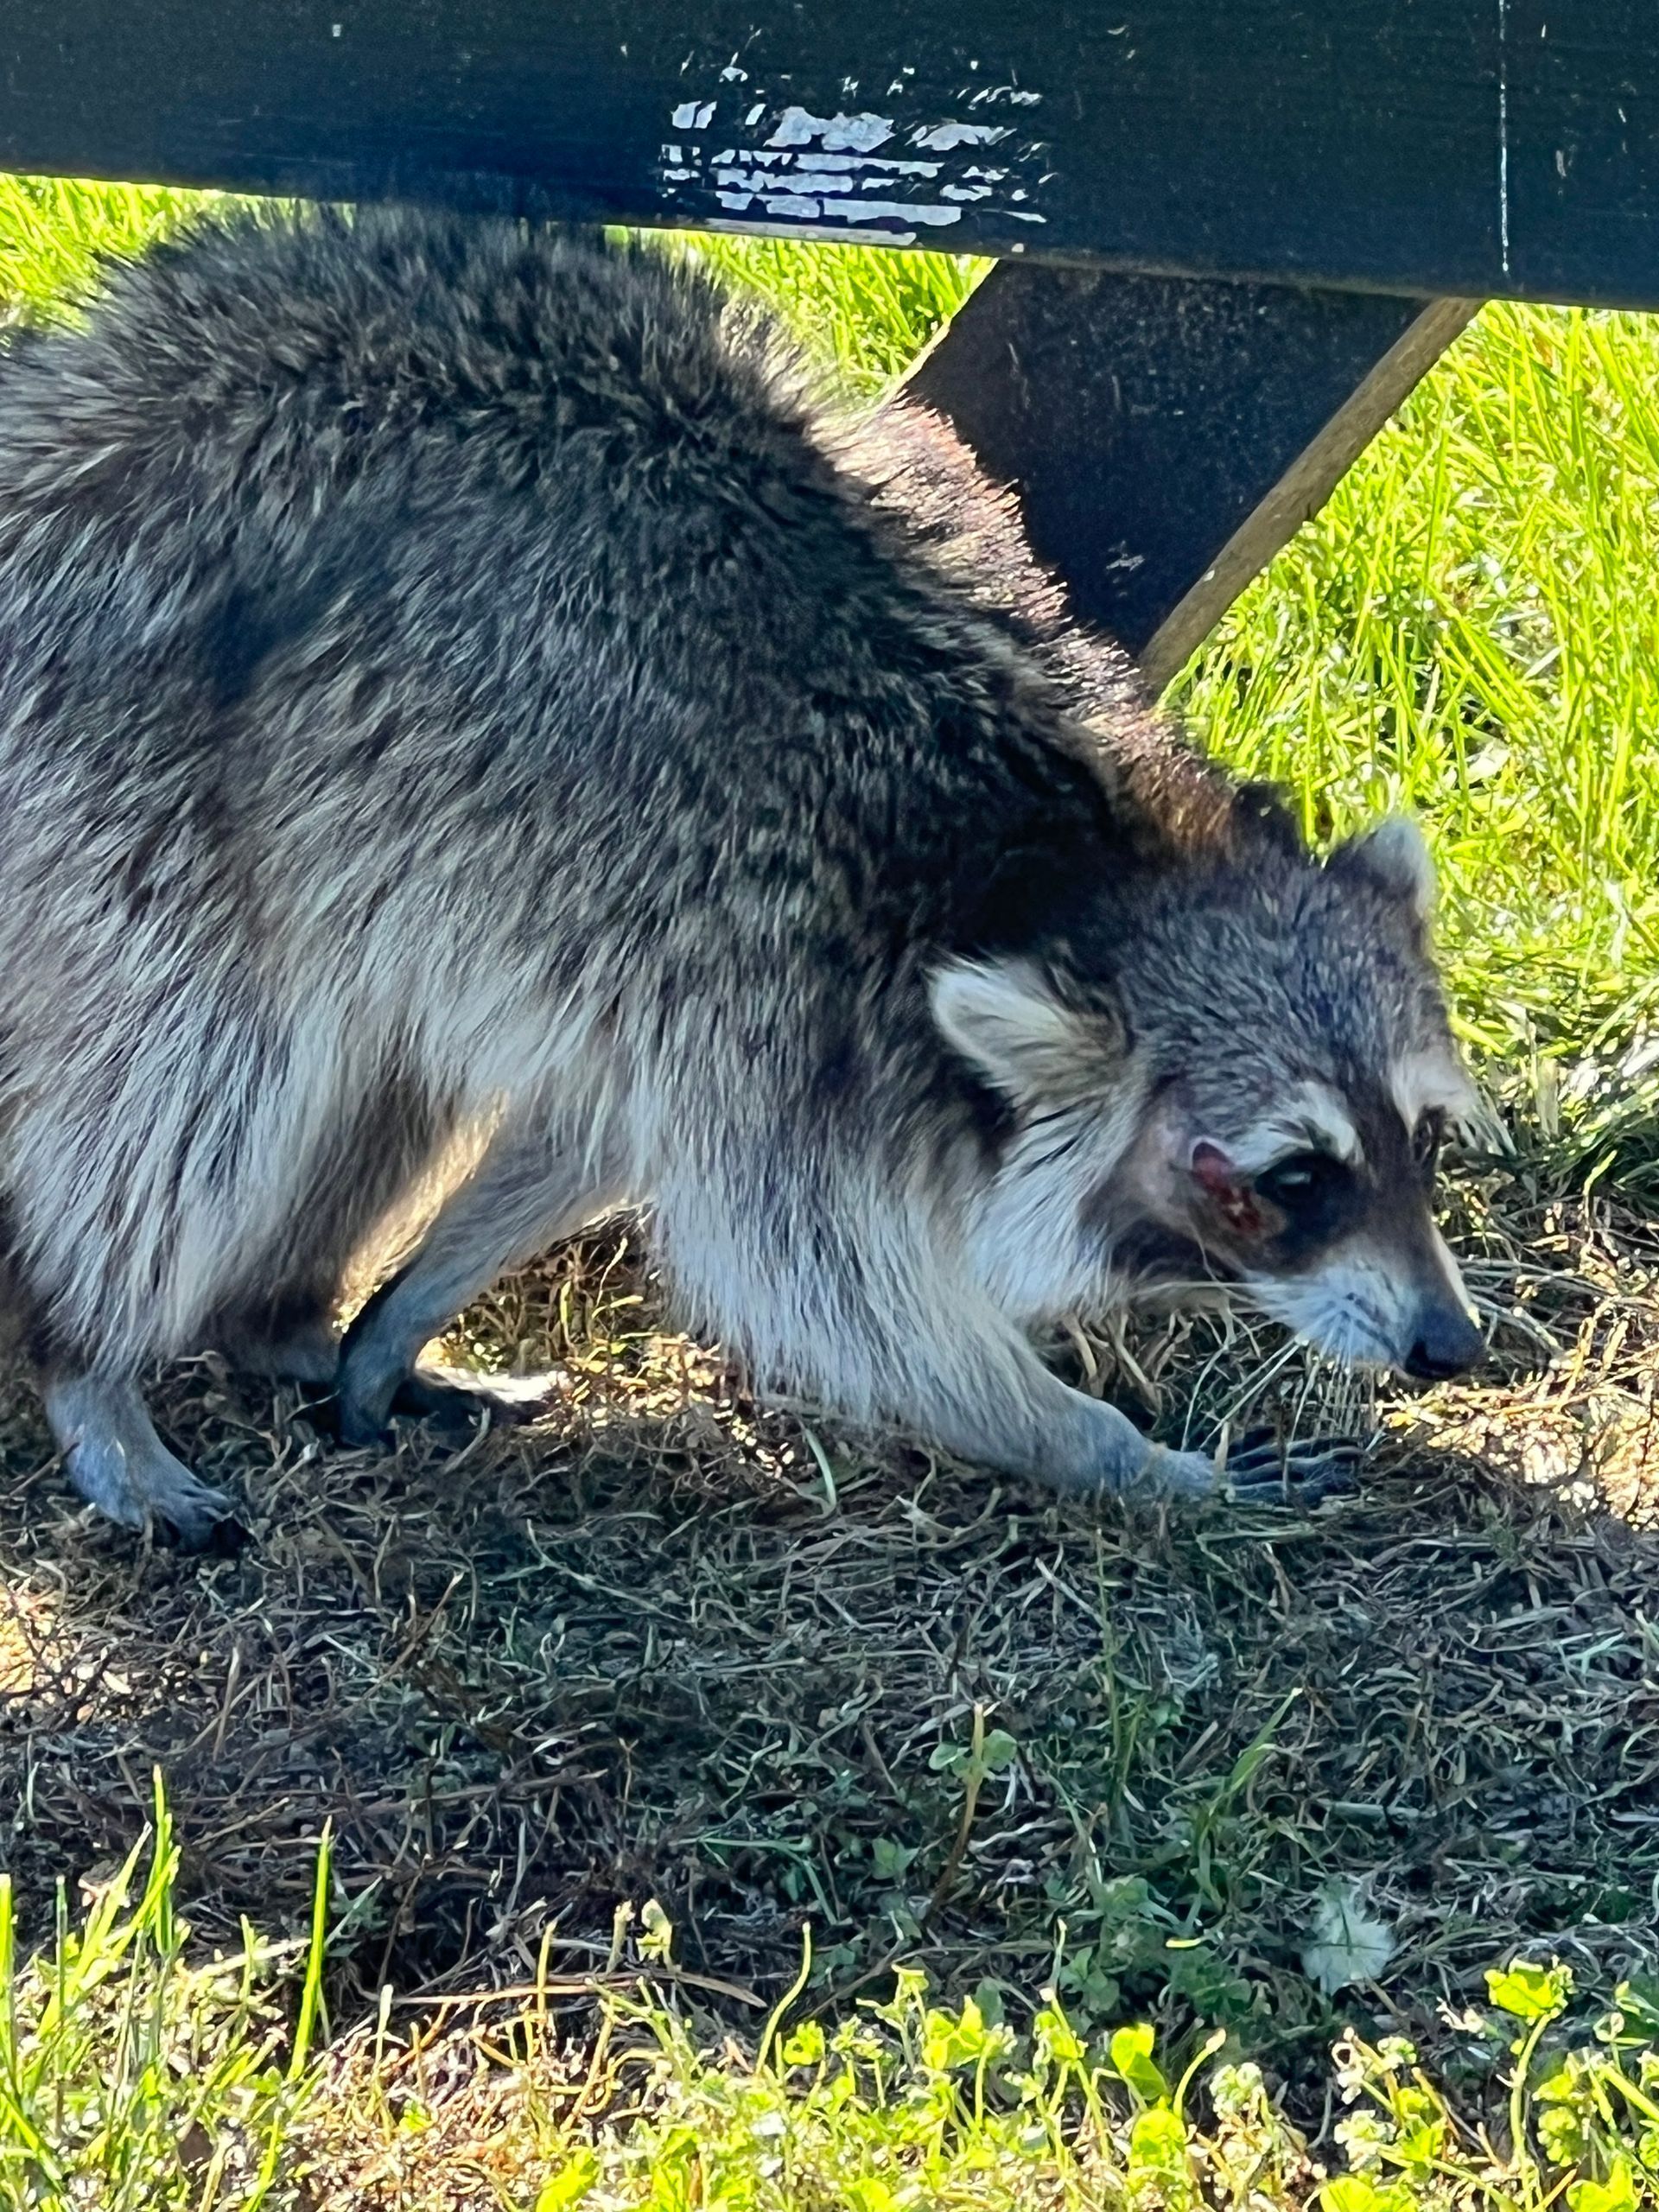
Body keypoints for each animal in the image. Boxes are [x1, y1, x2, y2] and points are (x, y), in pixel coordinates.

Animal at [0, 204, 1483, 1546]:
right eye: (1288, 1178)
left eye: (1422, 1137)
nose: (1449, 1347)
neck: (1058, 871)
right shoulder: (776, 972)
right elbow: (835, 1298)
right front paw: (1114, 1453)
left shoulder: (658, 973)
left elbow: (580, 1130)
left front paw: (413, 1298)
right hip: (128, 782)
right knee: (191, 1091)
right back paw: (88, 1354)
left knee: (369, 1072)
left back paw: (277, 1318)